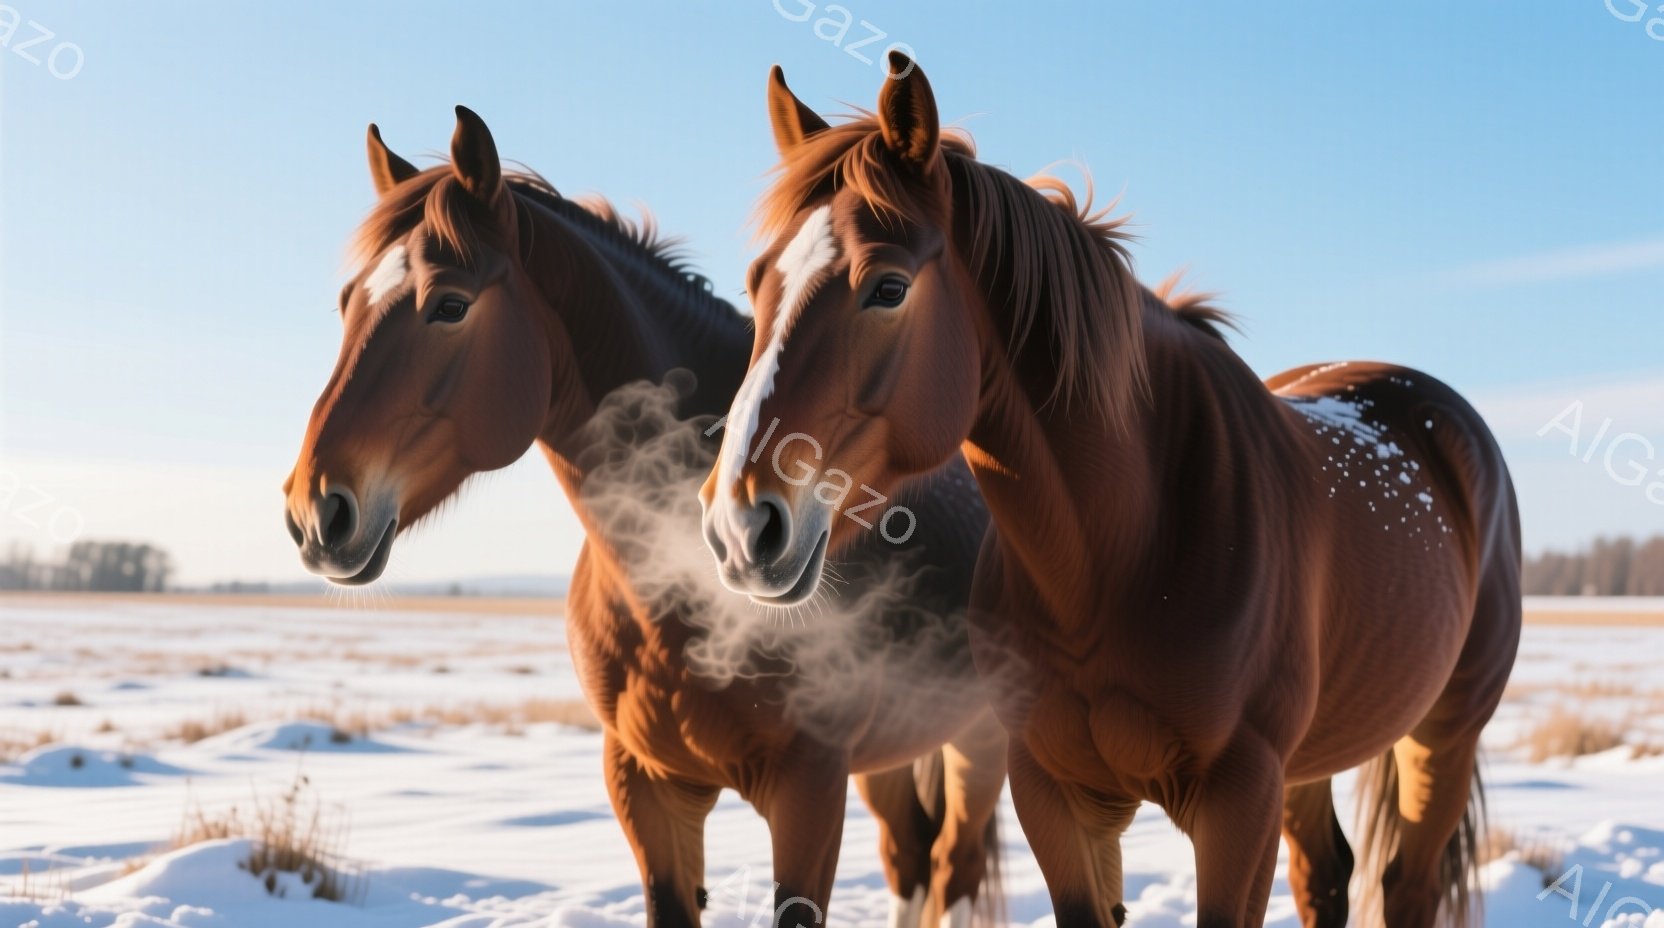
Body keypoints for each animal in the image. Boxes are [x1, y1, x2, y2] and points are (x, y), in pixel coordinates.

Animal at [281, 106, 1009, 927]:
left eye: (450, 304)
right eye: (348, 304)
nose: (315, 512)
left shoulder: (810, 786)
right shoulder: (644, 781)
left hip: (980, 743)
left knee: (950, 866)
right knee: (909, 860)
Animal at [701, 57, 1521, 928]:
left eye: (887, 287)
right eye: (758, 283)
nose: (740, 526)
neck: (1121, 554)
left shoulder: (1239, 799)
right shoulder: (1056, 791)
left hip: (1444, 735)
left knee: (1407, 883)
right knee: (1326, 873)